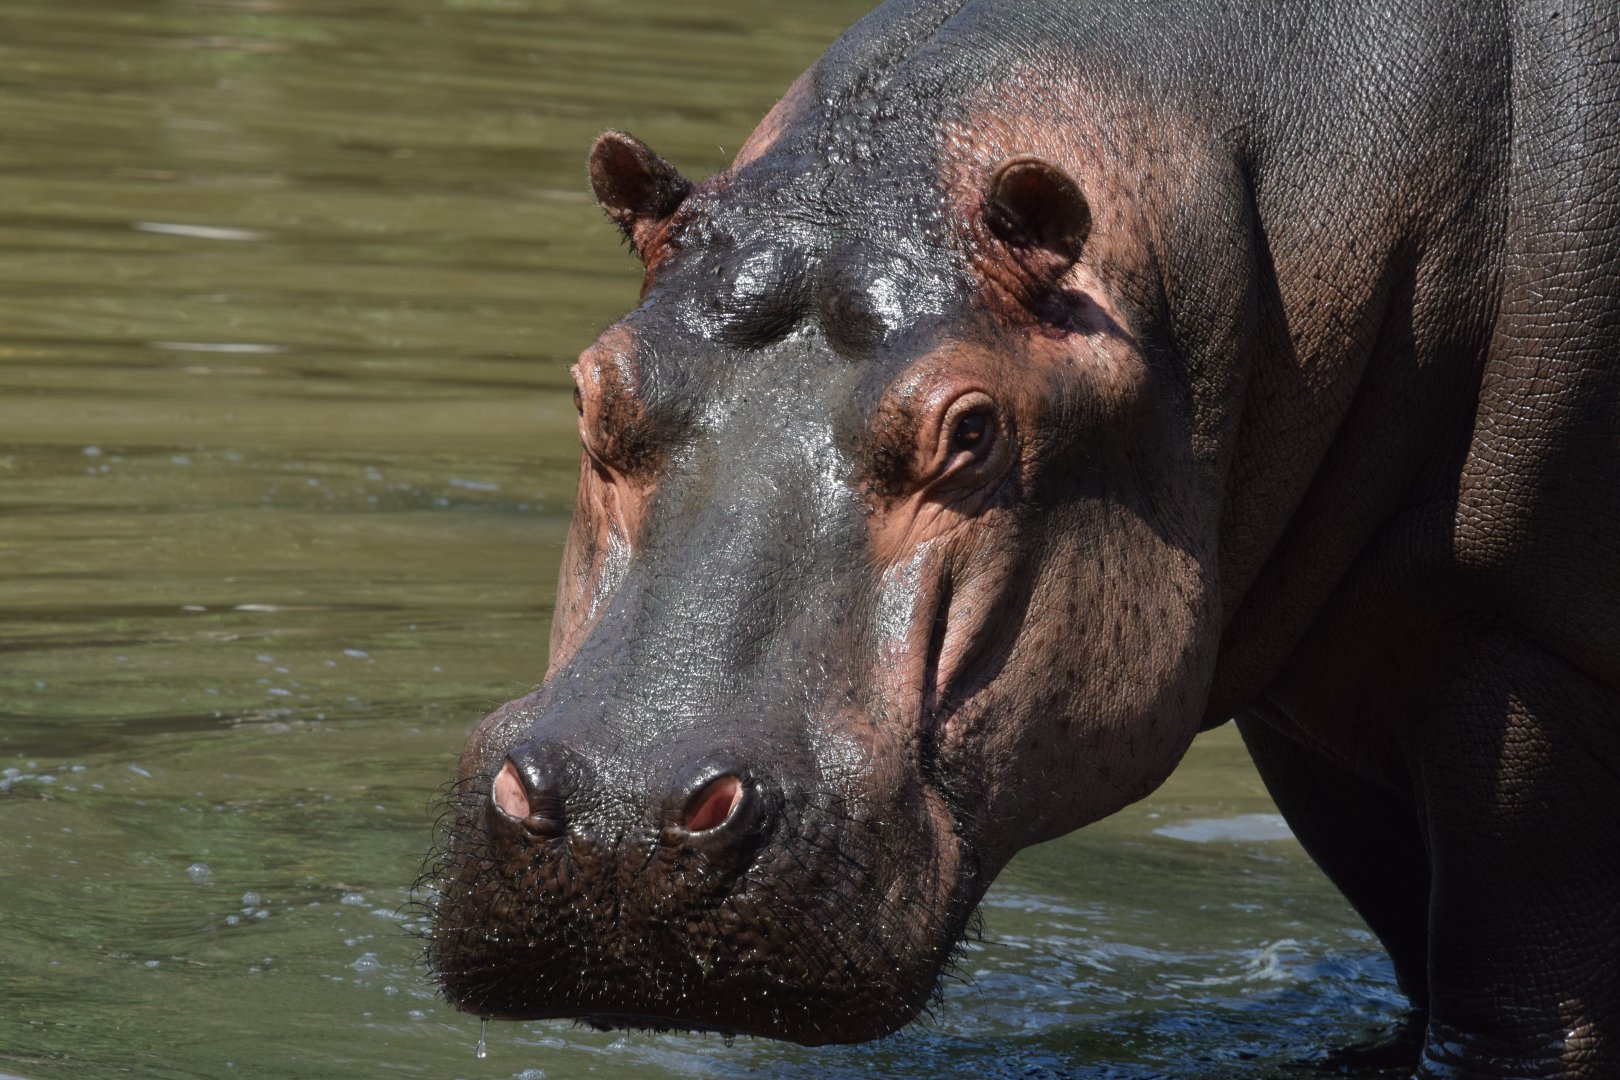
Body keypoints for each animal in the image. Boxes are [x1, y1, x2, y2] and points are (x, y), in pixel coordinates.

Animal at [424, 0, 1620, 1075]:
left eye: (973, 429)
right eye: (589, 388)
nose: (616, 818)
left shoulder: (1527, 677)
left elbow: (1518, 1020)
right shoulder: (1322, 731)